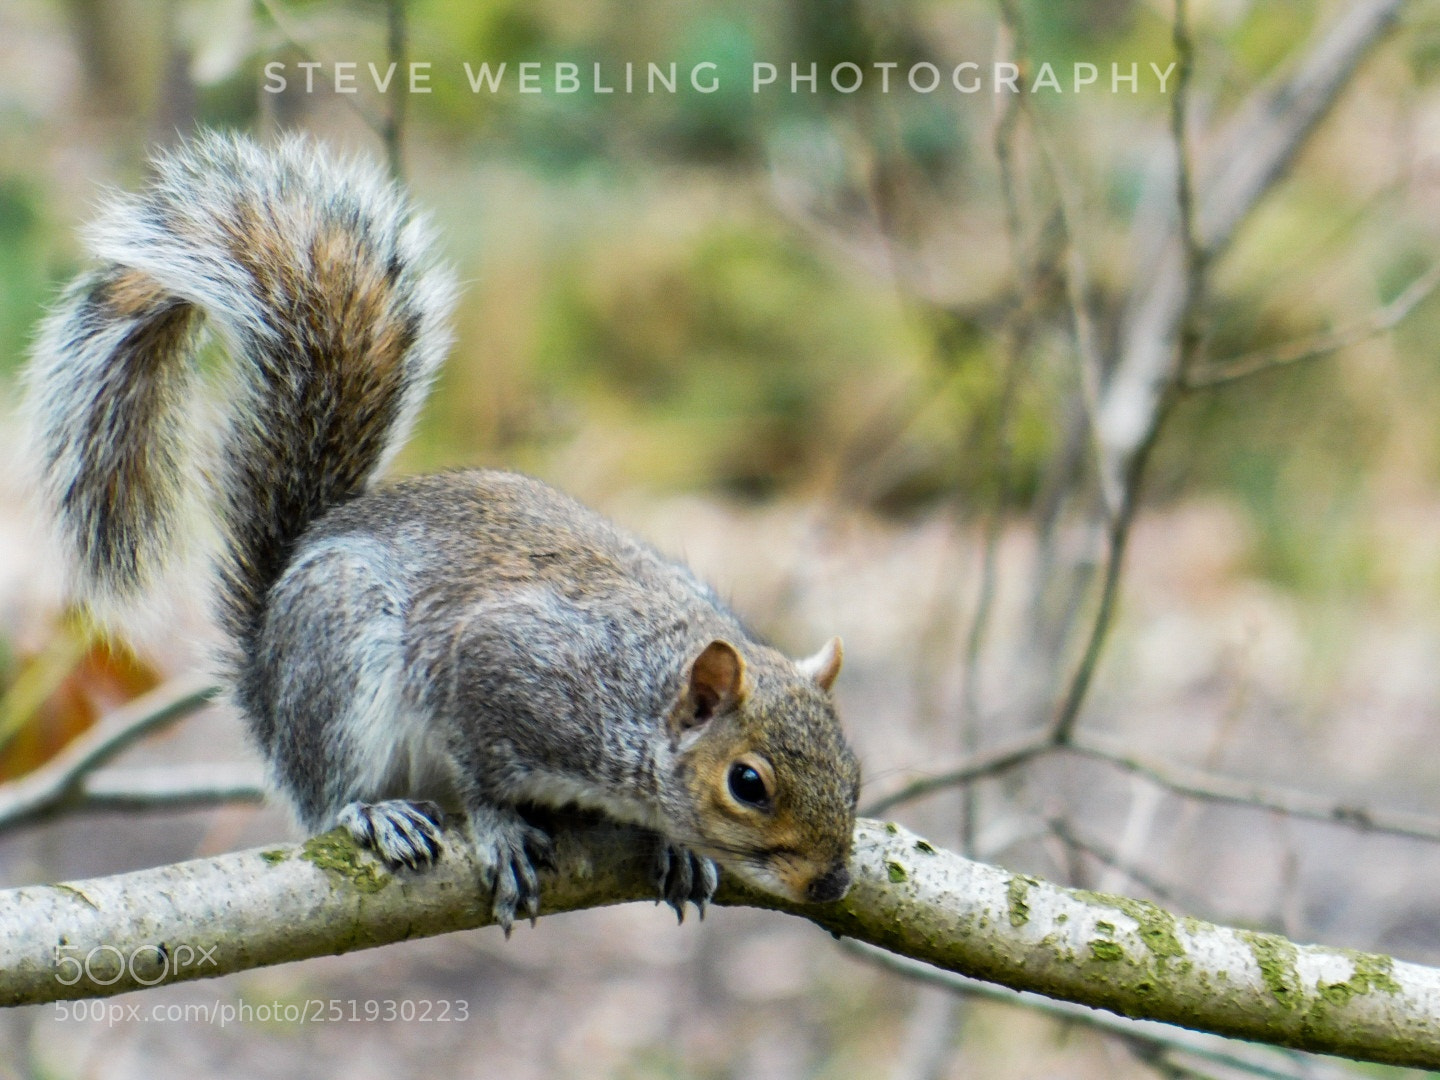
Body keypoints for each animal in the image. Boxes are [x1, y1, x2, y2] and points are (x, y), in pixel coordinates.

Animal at [22, 132, 861, 932]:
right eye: (747, 783)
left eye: (854, 768)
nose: (831, 883)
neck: (642, 693)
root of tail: (266, 675)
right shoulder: (504, 668)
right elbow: (479, 763)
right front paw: (500, 826)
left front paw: (673, 846)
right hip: (338, 655)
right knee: (329, 791)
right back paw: (374, 811)